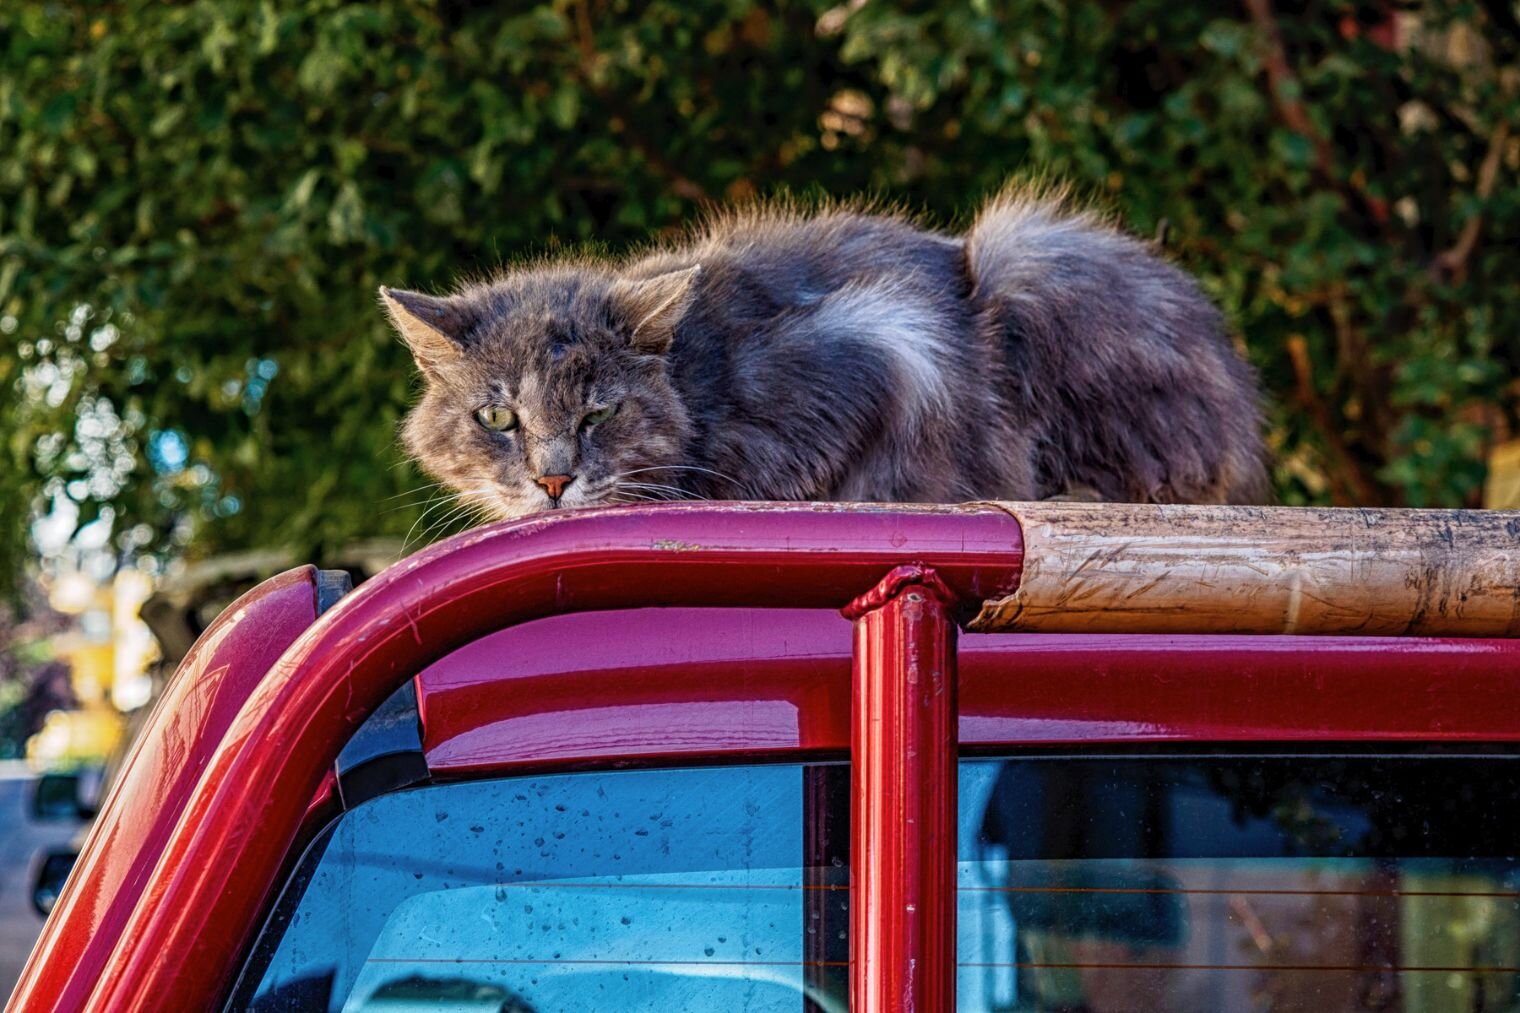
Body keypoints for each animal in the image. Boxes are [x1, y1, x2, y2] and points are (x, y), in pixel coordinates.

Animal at [383, 189, 1270, 517]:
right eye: (496, 416)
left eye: (601, 412)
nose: (553, 479)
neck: (698, 381)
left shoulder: (885, 346)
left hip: (1036, 255)